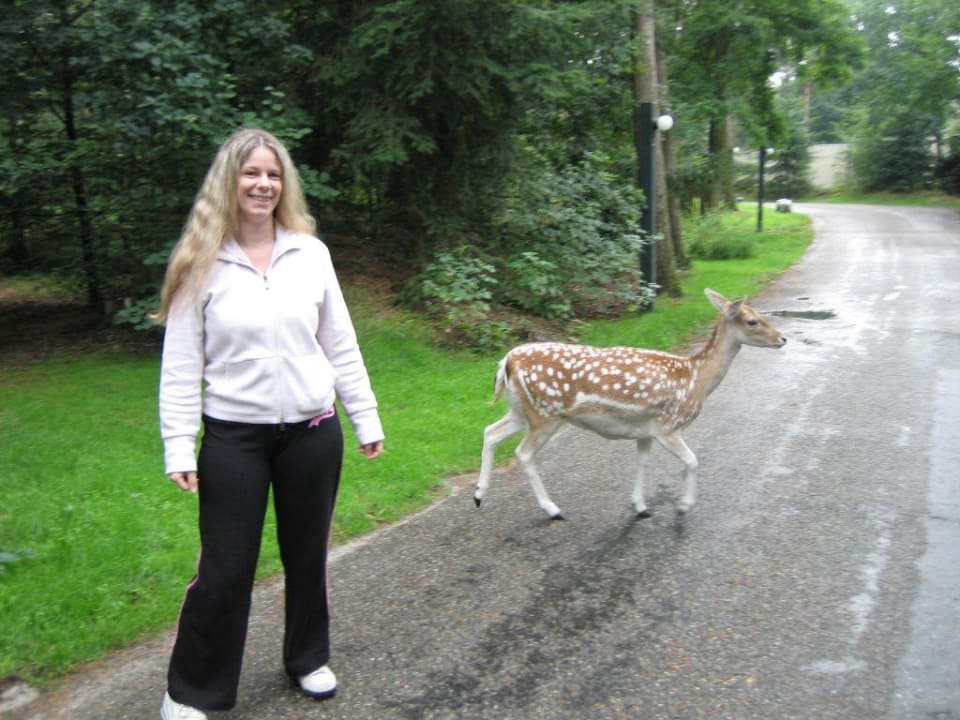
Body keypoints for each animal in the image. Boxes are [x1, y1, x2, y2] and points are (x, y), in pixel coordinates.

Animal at [474, 289, 787, 520]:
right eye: (752, 321)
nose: (783, 338)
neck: (696, 379)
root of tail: (506, 362)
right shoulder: (668, 426)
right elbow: (692, 461)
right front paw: (683, 506)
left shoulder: (645, 430)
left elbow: (642, 461)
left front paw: (640, 506)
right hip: (545, 413)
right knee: (523, 453)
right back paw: (552, 509)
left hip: (521, 409)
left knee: (490, 431)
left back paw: (478, 495)